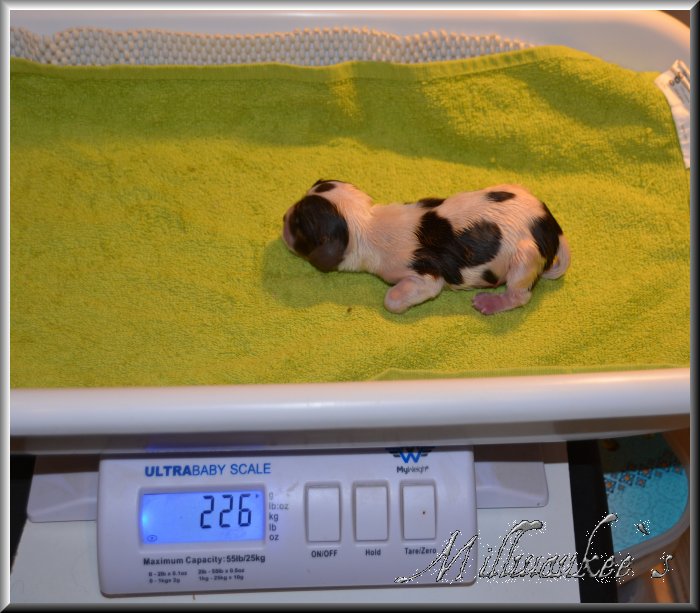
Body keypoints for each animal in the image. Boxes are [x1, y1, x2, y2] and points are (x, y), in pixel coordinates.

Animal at [282, 180, 570, 315]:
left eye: (298, 225)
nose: (283, 217)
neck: (366, 224)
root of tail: (550, 224)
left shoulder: (424, 275)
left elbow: (395, 297)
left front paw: (396, 302)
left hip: (525, 255)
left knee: (520, 295)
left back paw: (491, 302)